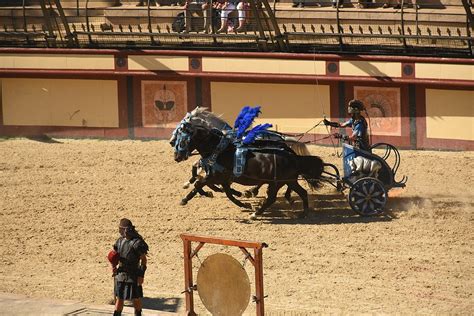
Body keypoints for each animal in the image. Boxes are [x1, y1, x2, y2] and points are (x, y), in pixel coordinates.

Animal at [172, 111, 324, 220]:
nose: (176, 156)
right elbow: (226, 192)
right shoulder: (222, 178)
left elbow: (200, 183)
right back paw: (302, 212)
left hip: (277, 182)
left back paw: (255, 212)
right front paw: (243, 202)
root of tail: (293, 156)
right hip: (287, 180)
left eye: (182, 139)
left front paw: (185, 199)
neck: (219, 150)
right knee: (301, 192)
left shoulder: (215, 177)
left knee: (272, 197)